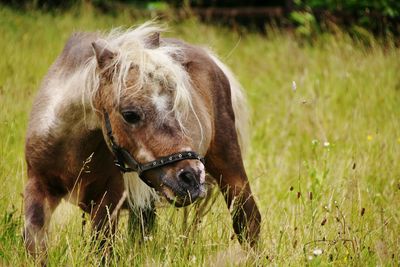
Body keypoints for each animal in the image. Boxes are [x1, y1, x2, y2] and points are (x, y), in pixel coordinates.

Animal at [24, 22, 262, 258]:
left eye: (180, 105)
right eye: (130, 114)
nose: (192, 177)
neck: (72, 149)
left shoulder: (107, 203)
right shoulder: (38, 188)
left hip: (230, 171)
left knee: (248, 221)